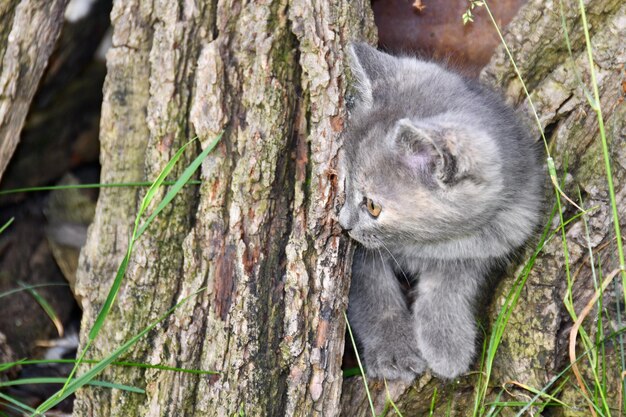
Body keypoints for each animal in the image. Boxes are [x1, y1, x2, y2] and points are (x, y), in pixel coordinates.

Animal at [336, 43, 540, 380]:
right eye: (344, 183)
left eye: (373, 206)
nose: (344, 224)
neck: (421, 242)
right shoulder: (361, 257)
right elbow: (373, 292)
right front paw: (394, 348)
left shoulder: (490, 242)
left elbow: (450, 285)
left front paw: (447, 340)